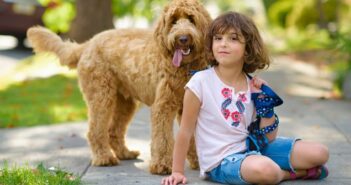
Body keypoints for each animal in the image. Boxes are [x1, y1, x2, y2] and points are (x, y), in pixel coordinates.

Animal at [27, 0, 212, 174]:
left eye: (191, 19)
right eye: (173, 21)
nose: (182, 38)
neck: (186, 68)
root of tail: (88, 43)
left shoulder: (189, 107)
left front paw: (199, 161)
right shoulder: (163, 107)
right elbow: (163, 139)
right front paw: (162, 166)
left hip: (124, 103)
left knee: (113, 131)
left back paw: (125, 153)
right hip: (101, 96)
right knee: (95, 131)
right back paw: (104, 158)